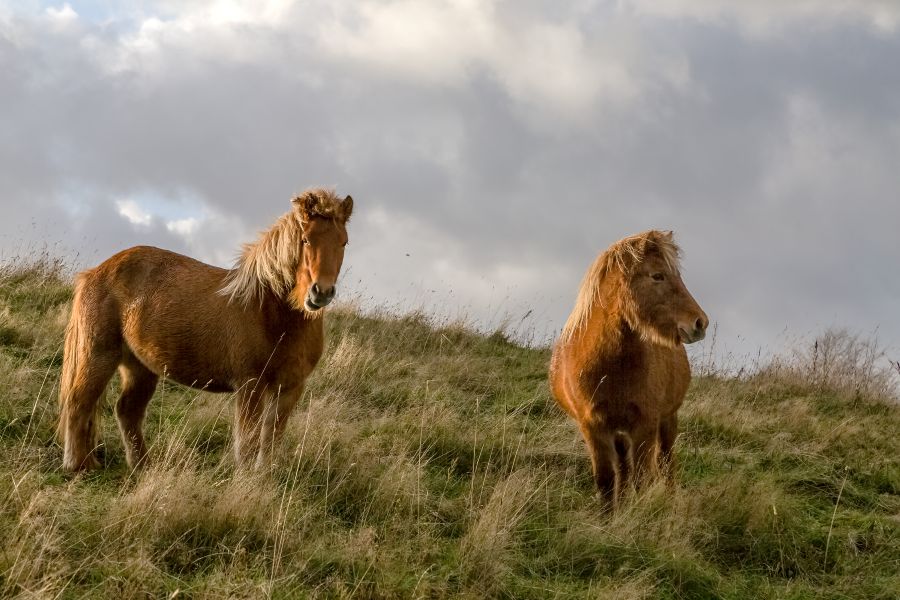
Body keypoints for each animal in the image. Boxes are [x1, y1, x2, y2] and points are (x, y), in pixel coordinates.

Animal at [57, 188, 353, 472]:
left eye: (343, 242)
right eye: (306, 240)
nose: (320, 293)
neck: (271, 310)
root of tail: (95, 272)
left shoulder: (290, 388)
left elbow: (271, 438)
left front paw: (264, 477)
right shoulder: (250, 385)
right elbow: (247, 443)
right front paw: (245, 480)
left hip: (140, 367)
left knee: (127, 411)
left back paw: (142, 465)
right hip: (99, 356)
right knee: (78, 402)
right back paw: (78, 465)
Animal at [549, 230, 708, 509]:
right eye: (657, 275)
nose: (700, 322)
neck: (610, 369)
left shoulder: (645, 425)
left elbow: (642, 479)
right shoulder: (594, 429)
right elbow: (606, 482)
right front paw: (610, 518)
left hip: (667, 420)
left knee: (666, 462)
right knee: (624, 472)